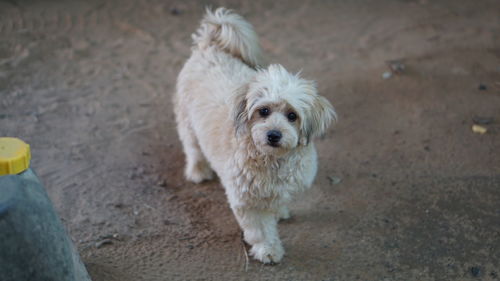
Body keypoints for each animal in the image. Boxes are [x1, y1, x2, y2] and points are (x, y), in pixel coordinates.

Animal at [175, 8, 336, 262]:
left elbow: (278, 203)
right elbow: (260, 230)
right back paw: (198, 172)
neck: (273, 161)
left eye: (292, 115)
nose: (273, 135)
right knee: (193, 149)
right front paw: (268, 250)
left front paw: (280, 212)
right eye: (264, 111)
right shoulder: (246, 202)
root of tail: (209, 46)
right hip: (187, 123)